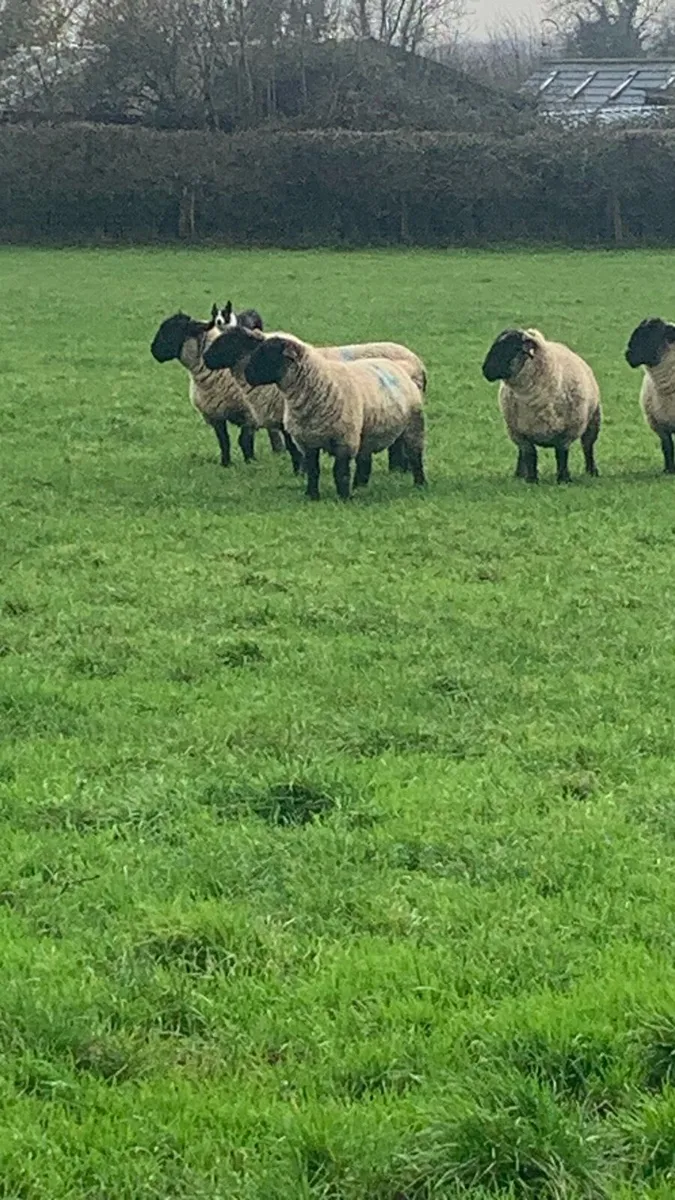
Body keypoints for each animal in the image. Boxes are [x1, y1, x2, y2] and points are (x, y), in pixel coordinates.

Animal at [149, 308, 284, 465]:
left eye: (174, 329)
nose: (154, 350)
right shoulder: (216, 413)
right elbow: (224, 441)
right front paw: (226, 464)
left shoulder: (249, 415)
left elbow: (244, 441)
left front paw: (250, 462)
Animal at [203, 325, 427, 474]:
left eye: (229, 341)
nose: (205, 358)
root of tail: (418, 363)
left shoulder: (289, 419)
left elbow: (294, 449)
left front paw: (299, 472)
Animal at [241, 335, 426, 501]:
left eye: (269, 353)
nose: (246, 374)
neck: (318, 383)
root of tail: (400, 367)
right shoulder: (307, 441)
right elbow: (313, 470)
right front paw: (312, 496)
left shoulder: (344, 439)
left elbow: (340, 472)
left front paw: (344, 497)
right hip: (367, 432)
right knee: (365, 459)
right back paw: (359, 486)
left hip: (413, 425)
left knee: (415, 455)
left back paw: (420, 484)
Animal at [481, 327, 601, 484]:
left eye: (513, 347)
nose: (486, 370)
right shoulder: (520, 433)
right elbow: (530, 455)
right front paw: (531, 480)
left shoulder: (566, 432)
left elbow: (561, 455)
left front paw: (564, 479)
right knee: (521, 453)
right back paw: (520, 474)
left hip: (593, 420)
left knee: (588, 446)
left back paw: (592, 471)